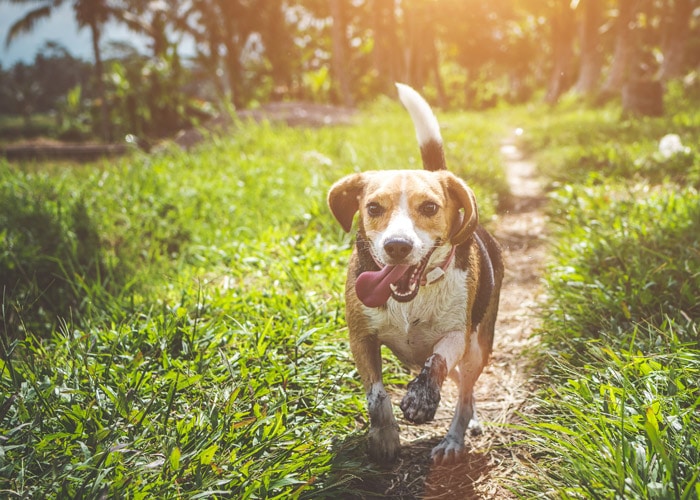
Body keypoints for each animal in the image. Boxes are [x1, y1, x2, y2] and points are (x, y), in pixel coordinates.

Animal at [328, 83, 504, 464]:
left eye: (430, 207)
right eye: (373, 208)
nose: (397, 246)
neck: (413, 296)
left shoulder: (456, 335)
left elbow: (436, 361)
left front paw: (421, 398)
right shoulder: (360, 337)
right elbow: (377, 395)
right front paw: (384, 437)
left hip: (478, 347)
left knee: (464, 394)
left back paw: (454, 439)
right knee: (462, 388)